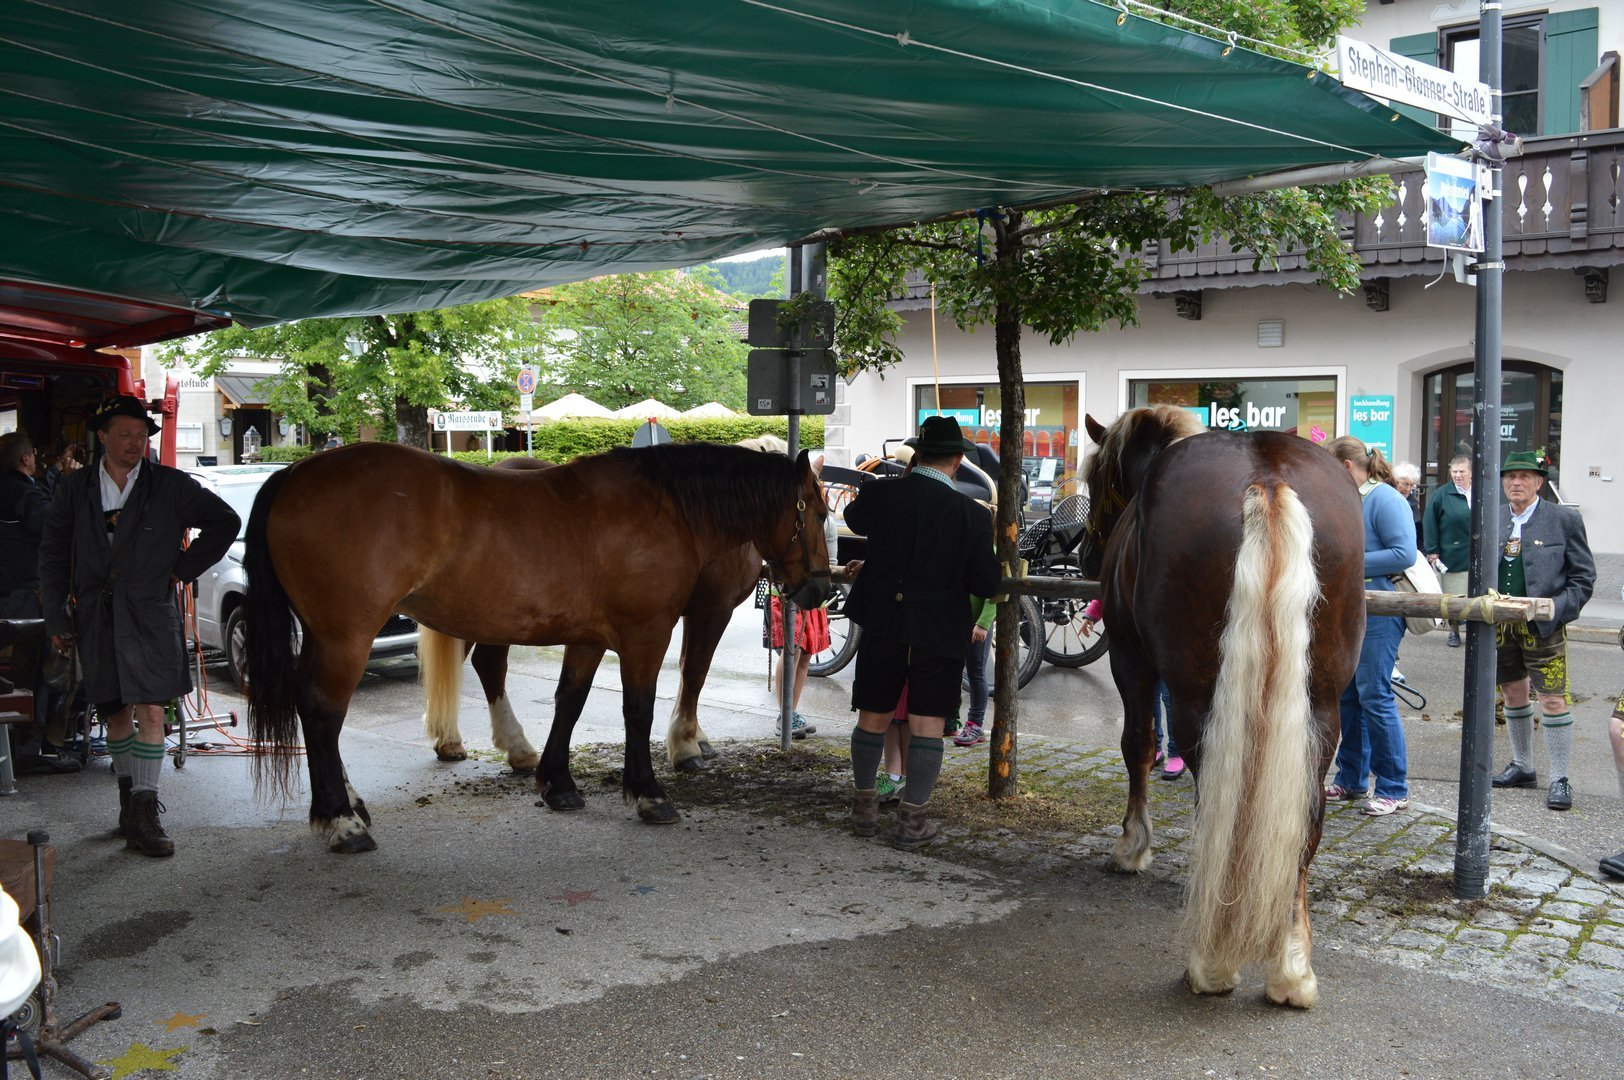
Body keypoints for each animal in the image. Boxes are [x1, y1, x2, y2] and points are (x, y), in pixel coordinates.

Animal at [246, 438, 831, 851]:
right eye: (821, 513)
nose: (821, 589)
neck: (664, 508)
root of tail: (295, 472)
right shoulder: (648, 633)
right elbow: (639, 709)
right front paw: (648, 791)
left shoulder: (589, 639)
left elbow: (569, 702)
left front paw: (557, 782)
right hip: (346, 637)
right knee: (322, 711)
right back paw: (341, 820)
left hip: (326, 636)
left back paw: (353, 801)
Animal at [1084, 409, 1364, 1006]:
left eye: (1097, 481)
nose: (1087, 554)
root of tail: (1269, 479)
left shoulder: (1129, 657)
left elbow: (1138, 744)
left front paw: (1132, 845)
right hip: (1321, 708)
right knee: (1304, 821)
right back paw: (1291, 965)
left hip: (1197, 700)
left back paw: (1212, 960)